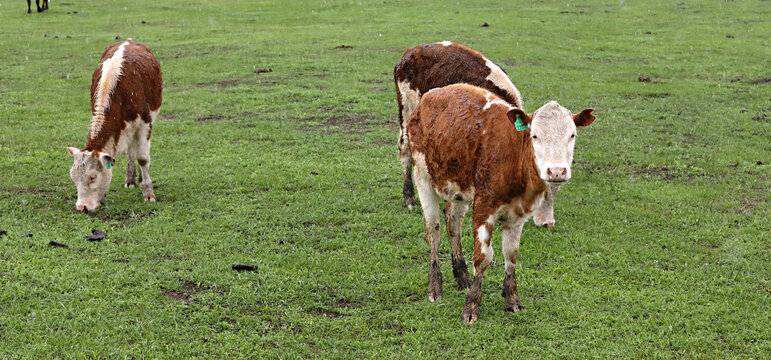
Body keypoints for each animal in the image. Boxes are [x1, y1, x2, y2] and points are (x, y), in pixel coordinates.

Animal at [66, 38, 163, 214]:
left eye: (92, 177)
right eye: (73, 177)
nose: (81, 206)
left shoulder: (145, 124)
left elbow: (143, 158)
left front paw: (148, 193)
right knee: (130, 150)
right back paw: (131, 179)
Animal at [410, 84, 596, 324]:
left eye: (572, 135)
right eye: (535, 135)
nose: (556, 171)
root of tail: (434, 92)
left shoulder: (518, 214)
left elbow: (511, 254)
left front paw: (512, 299)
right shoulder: (483, 207)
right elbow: (483, 257)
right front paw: (471, 307)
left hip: (457, 187)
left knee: (453, 223)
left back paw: (462, 277)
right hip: (422, 177)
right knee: (434, 231)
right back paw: (435, 286)